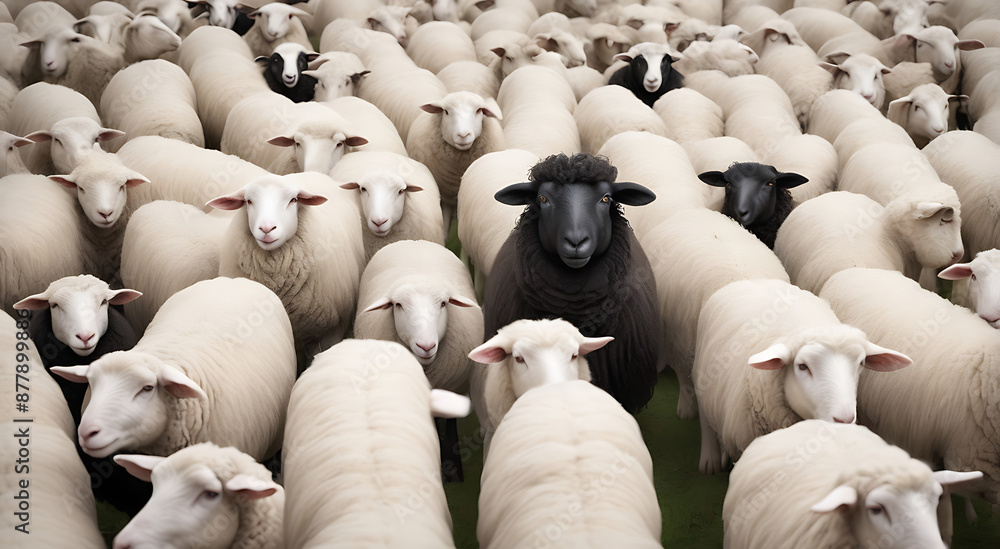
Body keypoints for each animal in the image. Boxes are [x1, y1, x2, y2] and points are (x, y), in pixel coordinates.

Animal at [406, 90, 505, 235]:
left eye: (479, 110)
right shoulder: (446, 199)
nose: (463, 135)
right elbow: (445, 230)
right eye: (446, 111)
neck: (458, 174)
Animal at [694, 278, 912, 474]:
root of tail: (752, 279)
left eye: (861, 363)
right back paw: (710, 459)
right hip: (703, 373)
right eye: (802, 366)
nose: (844, 420)